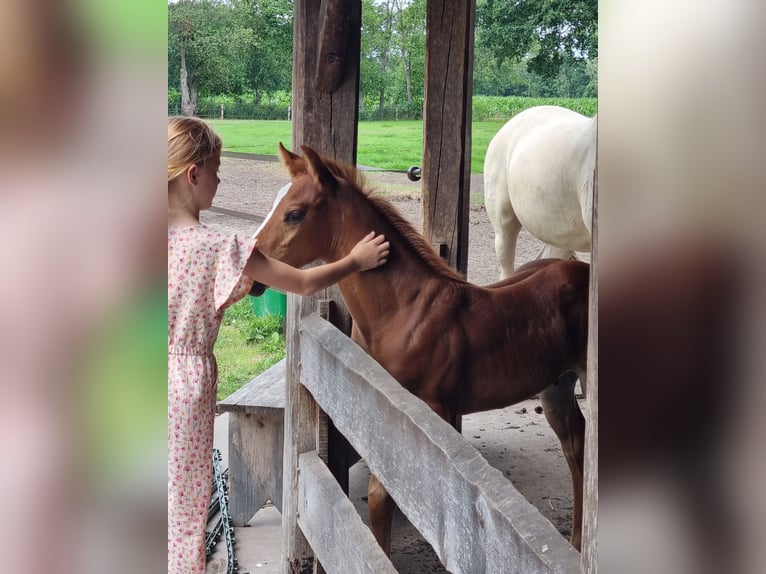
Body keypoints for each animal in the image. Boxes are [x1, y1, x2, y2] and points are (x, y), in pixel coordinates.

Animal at [254, 143, 591, 553]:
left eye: (295, 214)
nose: (251, 267)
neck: (405, 309)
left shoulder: (434, 412)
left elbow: (394, 494)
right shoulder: (378, 408)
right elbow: (379, 493)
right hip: (557, 386)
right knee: (576, 446)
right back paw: (576, 540)